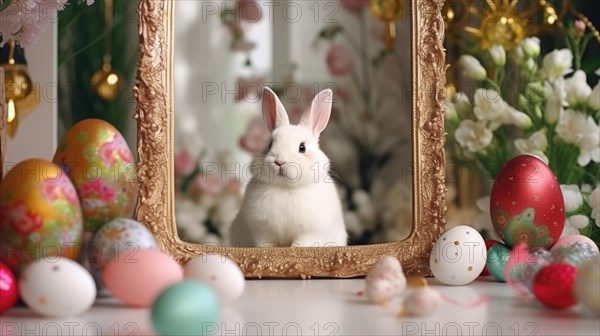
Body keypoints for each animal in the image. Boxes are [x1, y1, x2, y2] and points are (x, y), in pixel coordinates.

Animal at [229, 88, 352, 248]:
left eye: (302, 147)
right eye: (270, 144)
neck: (286, 187)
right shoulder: (263, 231)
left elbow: (302, 244)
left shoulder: (310, 233)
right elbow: (266, 245)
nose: (280, 161)